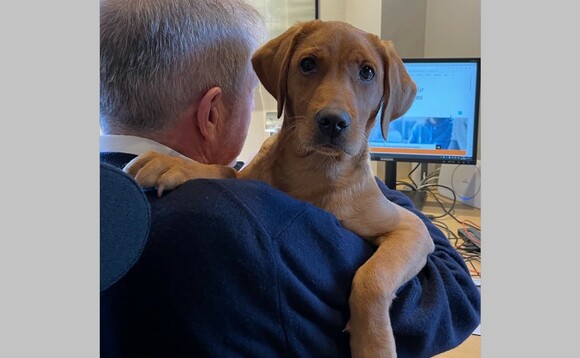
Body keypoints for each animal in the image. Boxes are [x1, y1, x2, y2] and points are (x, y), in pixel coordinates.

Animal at [127, 20, 436, 358]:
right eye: (308, 64)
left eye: (367, 72)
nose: (333, 122)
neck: (316, 171)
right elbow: (226, 170)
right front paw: (175, 163)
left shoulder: (411, 229)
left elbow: (373, 276)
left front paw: (373, 344)